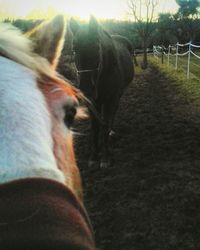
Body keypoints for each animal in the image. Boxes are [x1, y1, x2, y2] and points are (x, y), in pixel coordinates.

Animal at [69, 16, 134, 167]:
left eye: (97, 47)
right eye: (74, 49)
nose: (86, 90)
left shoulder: (110, 100)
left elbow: (104, 125)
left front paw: (105, 158)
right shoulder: (93, 102)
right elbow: (95, 127)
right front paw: (94, 156)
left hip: (116, 97)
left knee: (112, 115)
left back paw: (111, 131)